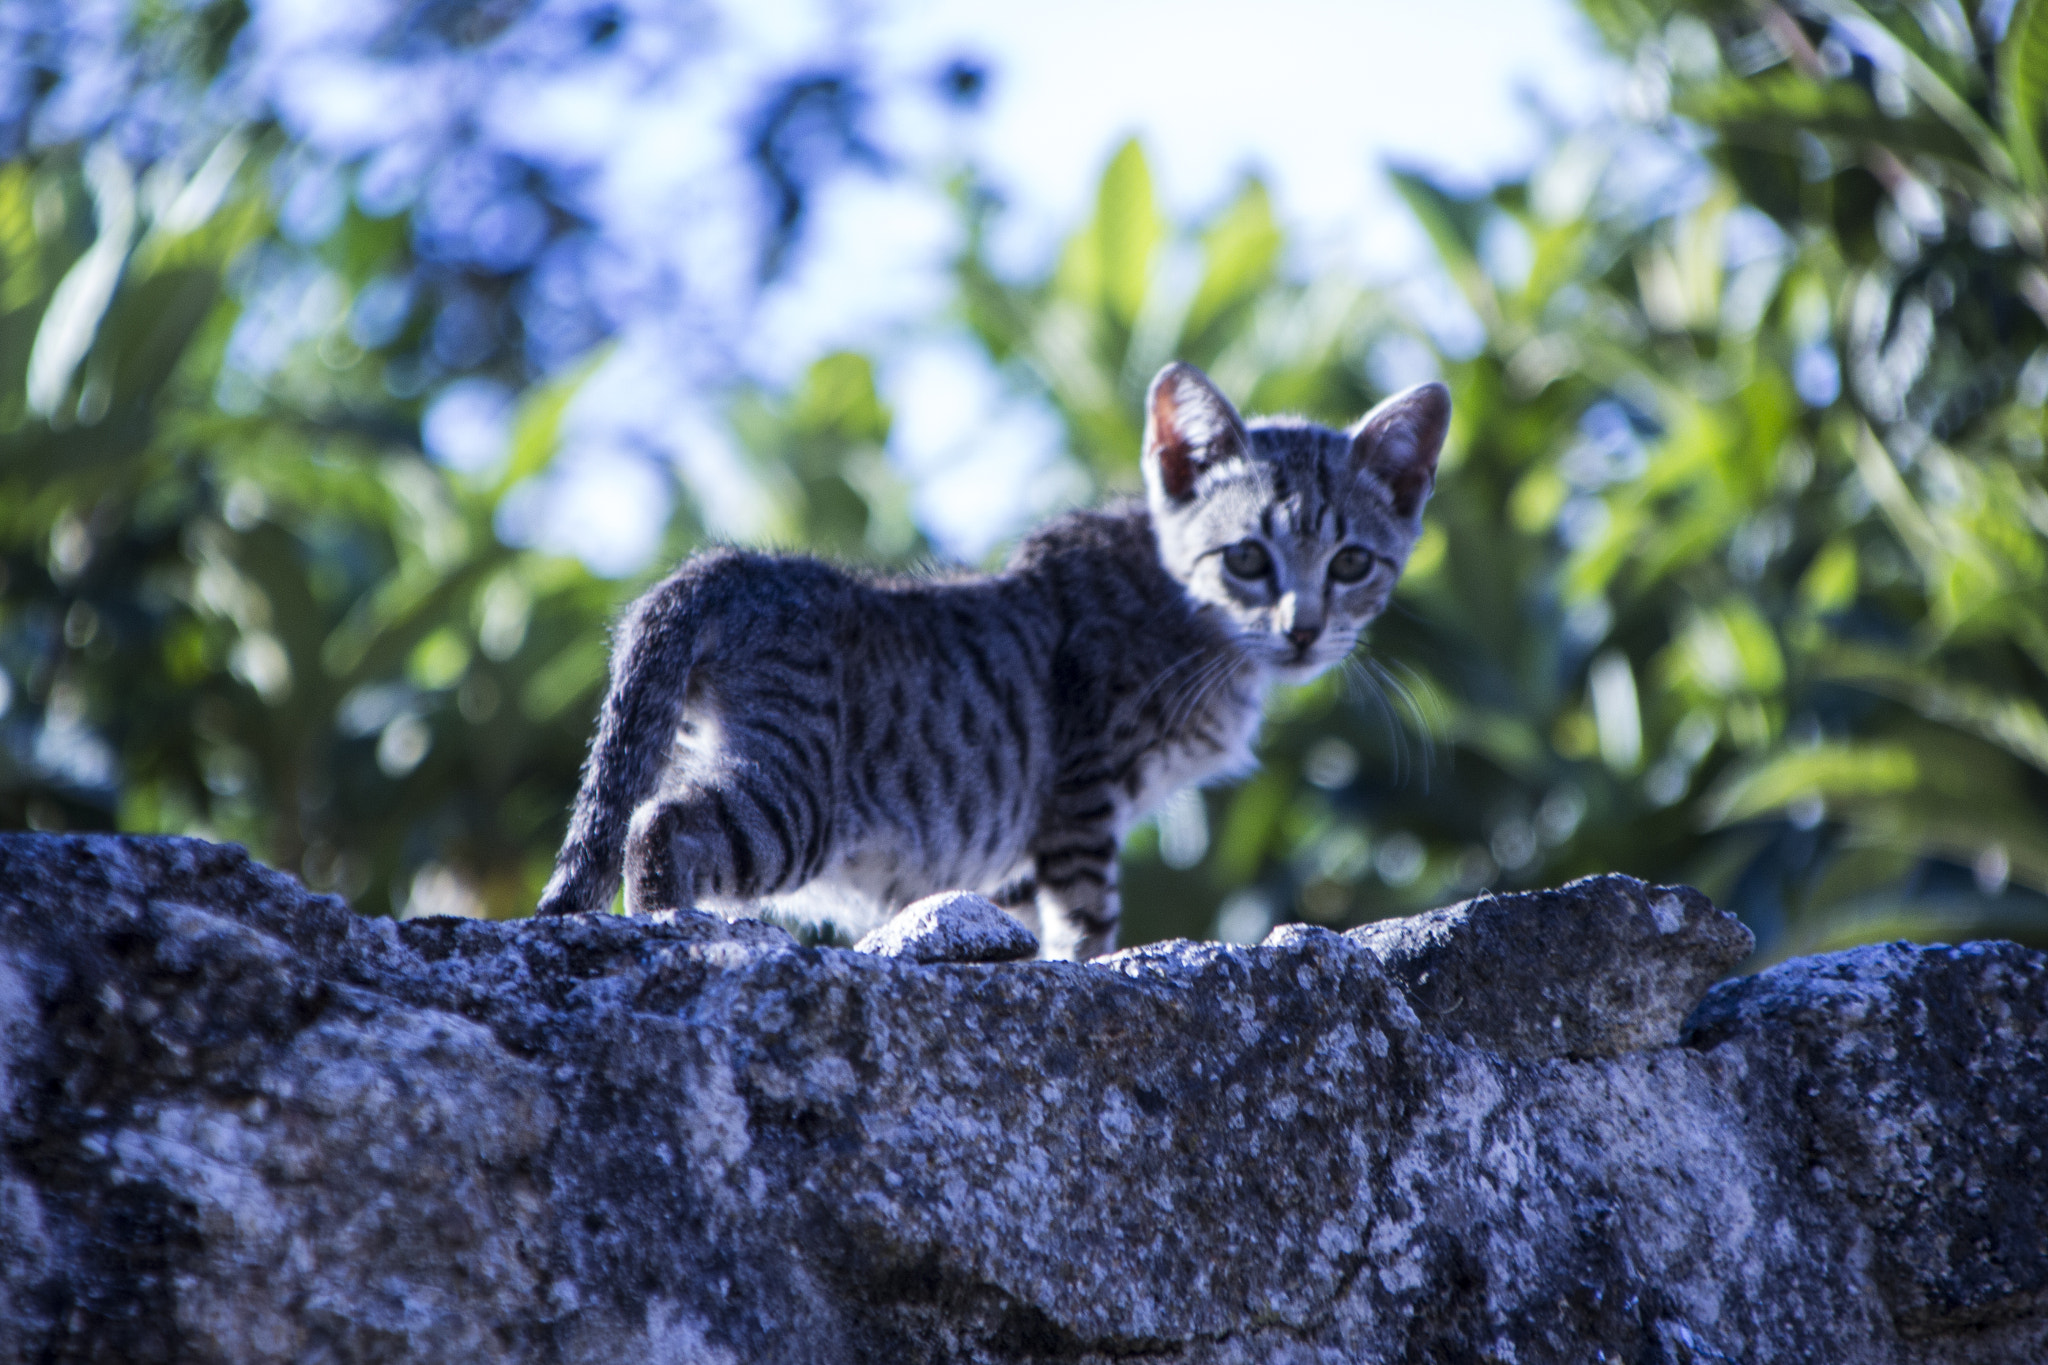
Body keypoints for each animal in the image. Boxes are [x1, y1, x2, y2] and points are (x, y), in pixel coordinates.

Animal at [536, 362, 1449, 961]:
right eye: (1249, 559)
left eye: (1352, 564)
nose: (1303, 629)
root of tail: (727, 567)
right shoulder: (1081, 793)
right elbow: (1087, 917)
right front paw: (1091, 964)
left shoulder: (1022, 845)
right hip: (798, 792)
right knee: (662, 822)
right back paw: (666, 926)